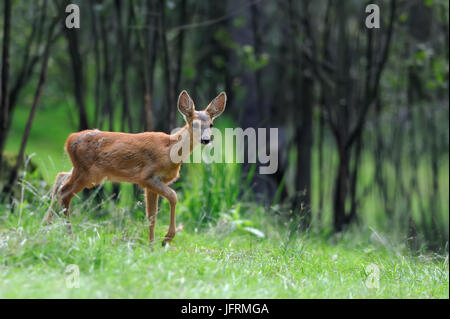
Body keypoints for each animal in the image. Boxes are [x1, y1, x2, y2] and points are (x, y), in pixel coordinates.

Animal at [47, 91, 227, 246]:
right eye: (194, 124)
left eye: (211, 124)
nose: (205, 140)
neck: (169, 150)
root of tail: (69, 140)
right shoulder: (146, 177)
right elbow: (173, 197)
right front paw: (166, 239)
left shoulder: (155, 183)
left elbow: (152, 216)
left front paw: (152, 246)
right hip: (88, 172)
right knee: (64, 192)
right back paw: (69, 237)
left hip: (85, 172)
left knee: (60, 177)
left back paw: (47, 226)